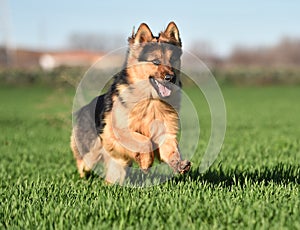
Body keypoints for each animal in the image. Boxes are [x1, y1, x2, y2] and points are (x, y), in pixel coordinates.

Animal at [71, 21, 190, 183]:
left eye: (172, 60)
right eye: (156, 62)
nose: (171, 78)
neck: (150, 99)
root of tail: (84, 108)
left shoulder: (164, 131)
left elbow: (171, 148)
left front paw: (179, 164)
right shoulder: (117, 131)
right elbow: (144, 141)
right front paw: (146, 162)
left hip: (117, 166)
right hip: (91, 154)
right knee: (82, 163)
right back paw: (83, 178)